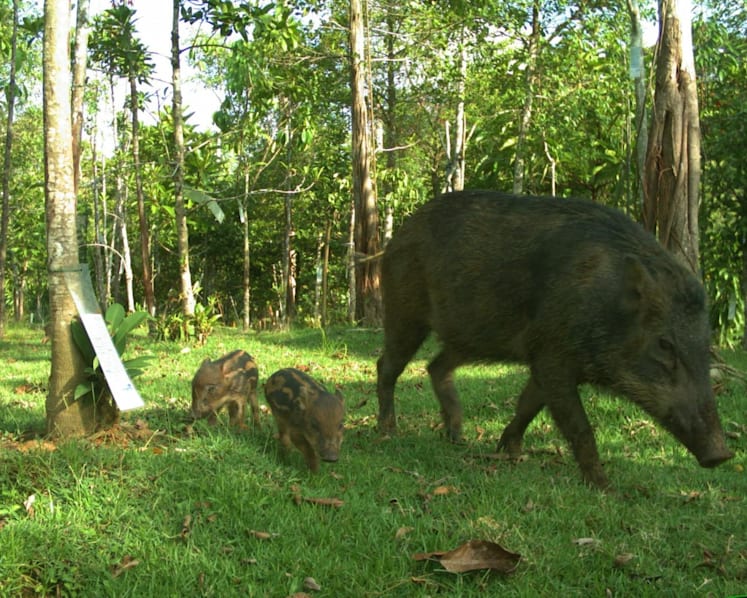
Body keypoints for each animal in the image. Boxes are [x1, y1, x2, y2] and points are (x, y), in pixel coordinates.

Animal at [377, 190, 733, 488]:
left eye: (706, 345)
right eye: (664, 344)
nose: (722, 454)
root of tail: (396, 237)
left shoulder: (544, 356)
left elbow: (528, 406)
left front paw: (511, 452)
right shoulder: (552, 356)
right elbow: (578, 425)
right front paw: (607, 488)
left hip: (469, 338)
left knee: (436, 366)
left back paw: (456, 436)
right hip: (404, 311)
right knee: (387, 365)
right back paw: (388, 432)